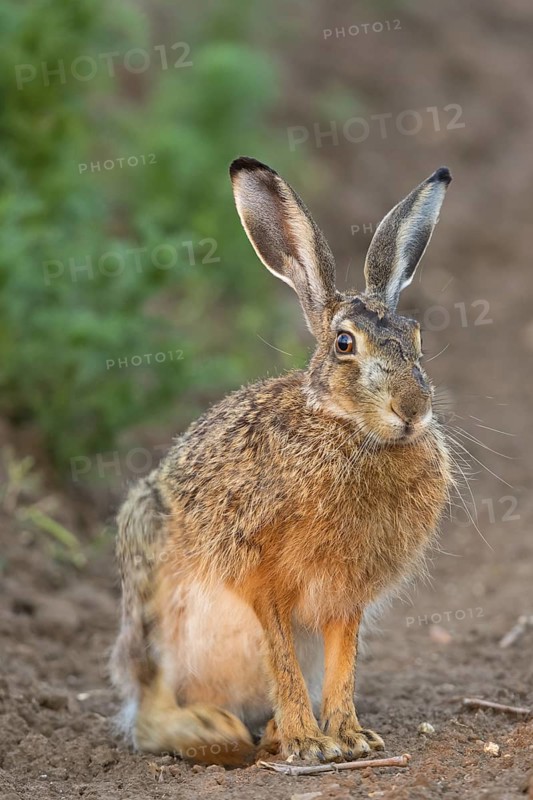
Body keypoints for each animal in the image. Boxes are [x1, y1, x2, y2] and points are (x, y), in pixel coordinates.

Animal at [110, 157, 453, 766]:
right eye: (344, 344)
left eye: (416, 338)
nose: (413, 410)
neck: (351, 433)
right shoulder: (261, 577)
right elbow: (282, 658)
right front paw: (307, 743)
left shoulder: (347, 595)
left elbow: (343, 662)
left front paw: (350, 737)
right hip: (147, 574)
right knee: (145, 705)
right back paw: (207, 729)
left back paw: (265, 732)